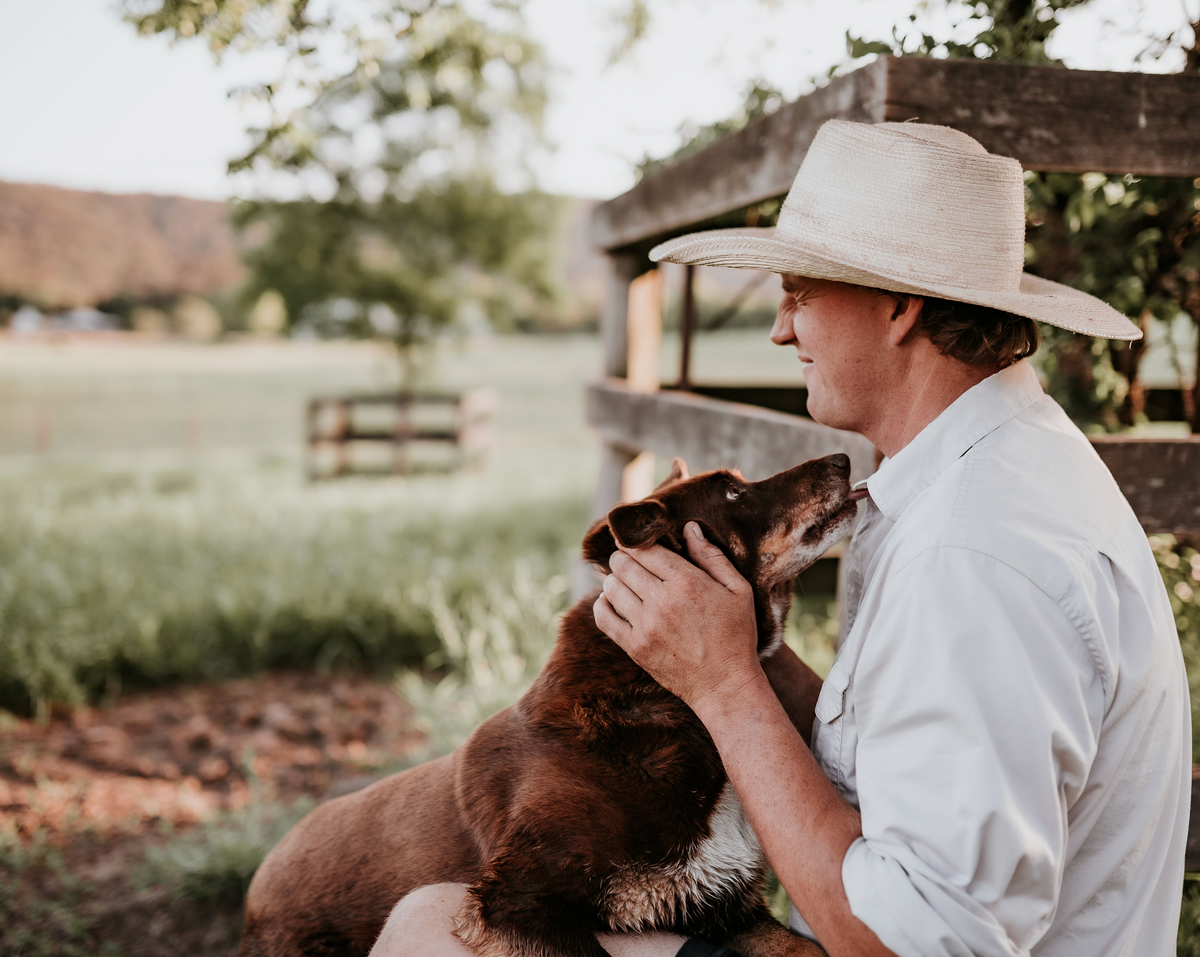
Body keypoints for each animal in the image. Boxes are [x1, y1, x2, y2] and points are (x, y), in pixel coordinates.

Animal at [243, 455, 859, 957]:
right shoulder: (517, 904)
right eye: (733, 493)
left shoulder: (727, 912)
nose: (843, 458)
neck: (664, 696)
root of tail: (256, 889)